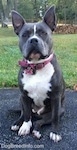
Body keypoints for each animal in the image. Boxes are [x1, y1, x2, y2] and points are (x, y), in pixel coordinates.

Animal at [10, 5, 65, 142]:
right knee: (24, 113)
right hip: (21, 99)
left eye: (43, 33)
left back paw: (36, 131)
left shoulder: (56, 98)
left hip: (59, 110)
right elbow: (26, 115)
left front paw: (55, 132)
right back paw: (18, 123)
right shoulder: (24, 96)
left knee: (41, 121)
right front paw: (24, 126)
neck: (36, 66)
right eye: (24, 35)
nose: (34, 40)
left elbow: (55, 118)